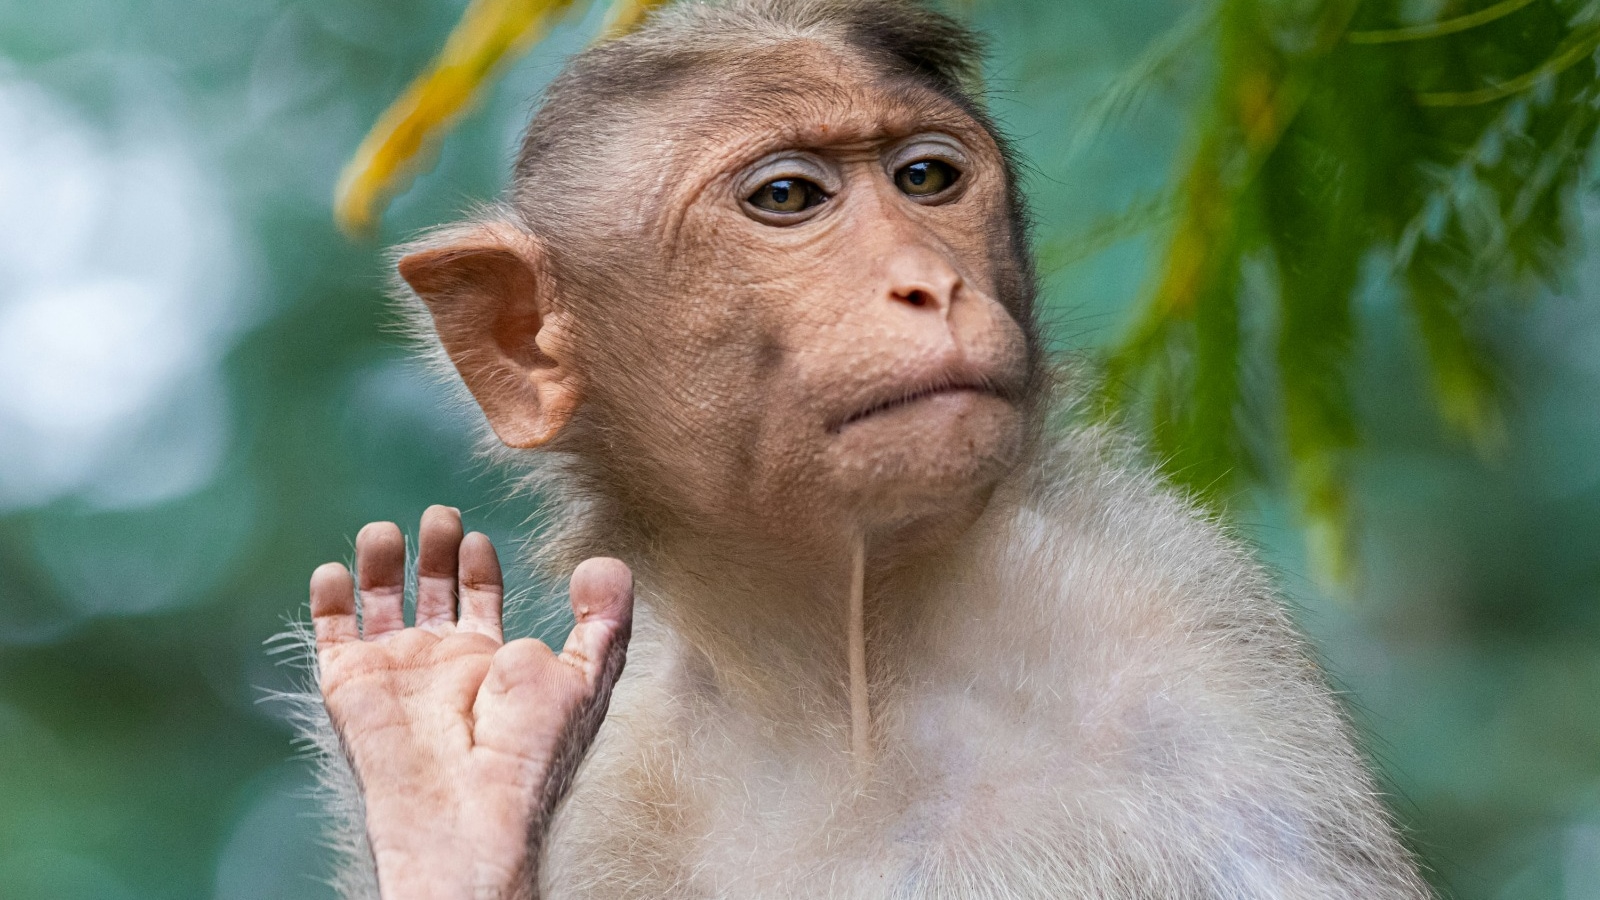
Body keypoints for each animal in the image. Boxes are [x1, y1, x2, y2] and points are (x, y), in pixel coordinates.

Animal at [294, 1, 1434, 897]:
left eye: (926, 178)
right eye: (787, 198)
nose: (931, 283)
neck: (844, 674)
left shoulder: (1184, 641)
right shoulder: (617, 784)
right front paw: (445, 781)